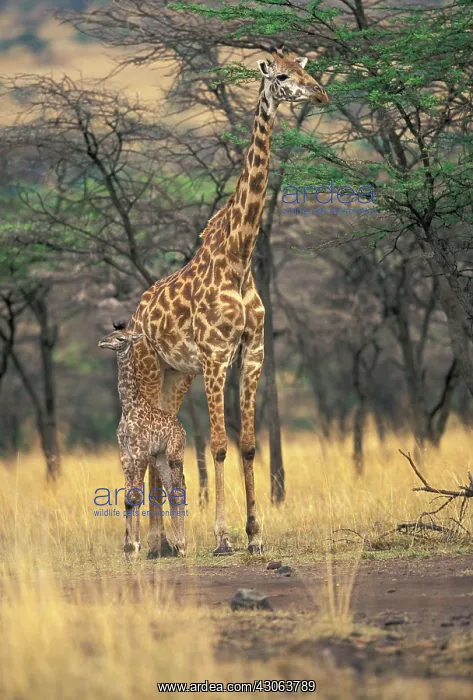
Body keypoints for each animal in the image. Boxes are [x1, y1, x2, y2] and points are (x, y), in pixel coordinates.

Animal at [98, 328, 187, 558]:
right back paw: (179, 544)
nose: (102, 342)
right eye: (109, 333)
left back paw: (183, 546)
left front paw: (135, 547)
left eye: (120, 338)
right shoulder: (125, 453)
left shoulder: (141, 452)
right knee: (172, 490)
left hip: (175, 454)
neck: (129, 408)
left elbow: (137, 495)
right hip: (160, 458)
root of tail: (181, 428)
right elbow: (127, 498)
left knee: (178, 490)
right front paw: (127, 549)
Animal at [128, 48, 329, 556]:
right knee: (148, 440)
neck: (239, 255)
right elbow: (219, 443)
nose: (321, 93)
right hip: (148, 367)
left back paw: (166, 541)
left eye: (306, 70)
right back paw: (148, 542)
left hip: (176, 374)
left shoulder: (252, 351)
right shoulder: (216, 356)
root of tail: (137, 312)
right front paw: (221, 537)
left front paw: (255, 535)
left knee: (161, 436)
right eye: (282, 76)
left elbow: (250, 443)